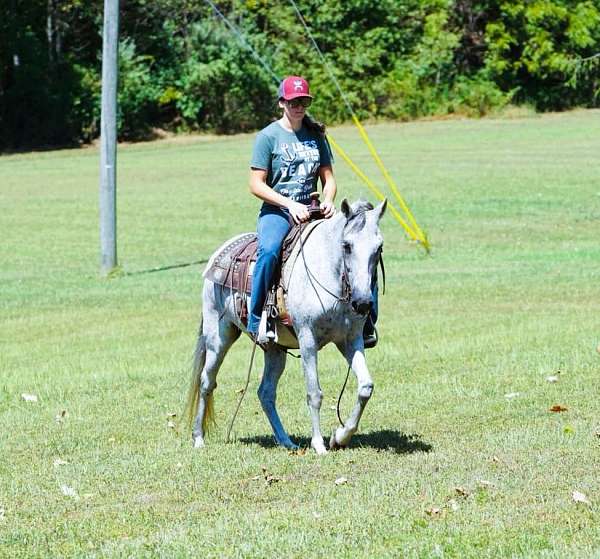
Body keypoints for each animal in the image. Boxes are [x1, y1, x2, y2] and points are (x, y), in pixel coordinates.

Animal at [185, 198, 386, 456]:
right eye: (347, 245)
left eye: (379, 248)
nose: (363, 303)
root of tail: (219, 254)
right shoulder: (308, 339)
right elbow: (314, 393)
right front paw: (319, 444)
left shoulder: (351, 340)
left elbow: (365, 386)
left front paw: (339, 437)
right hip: (218, 337)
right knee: (206, 381)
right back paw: (198, 438)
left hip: (274, 349)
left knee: (266, 392)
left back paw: (286, 441)